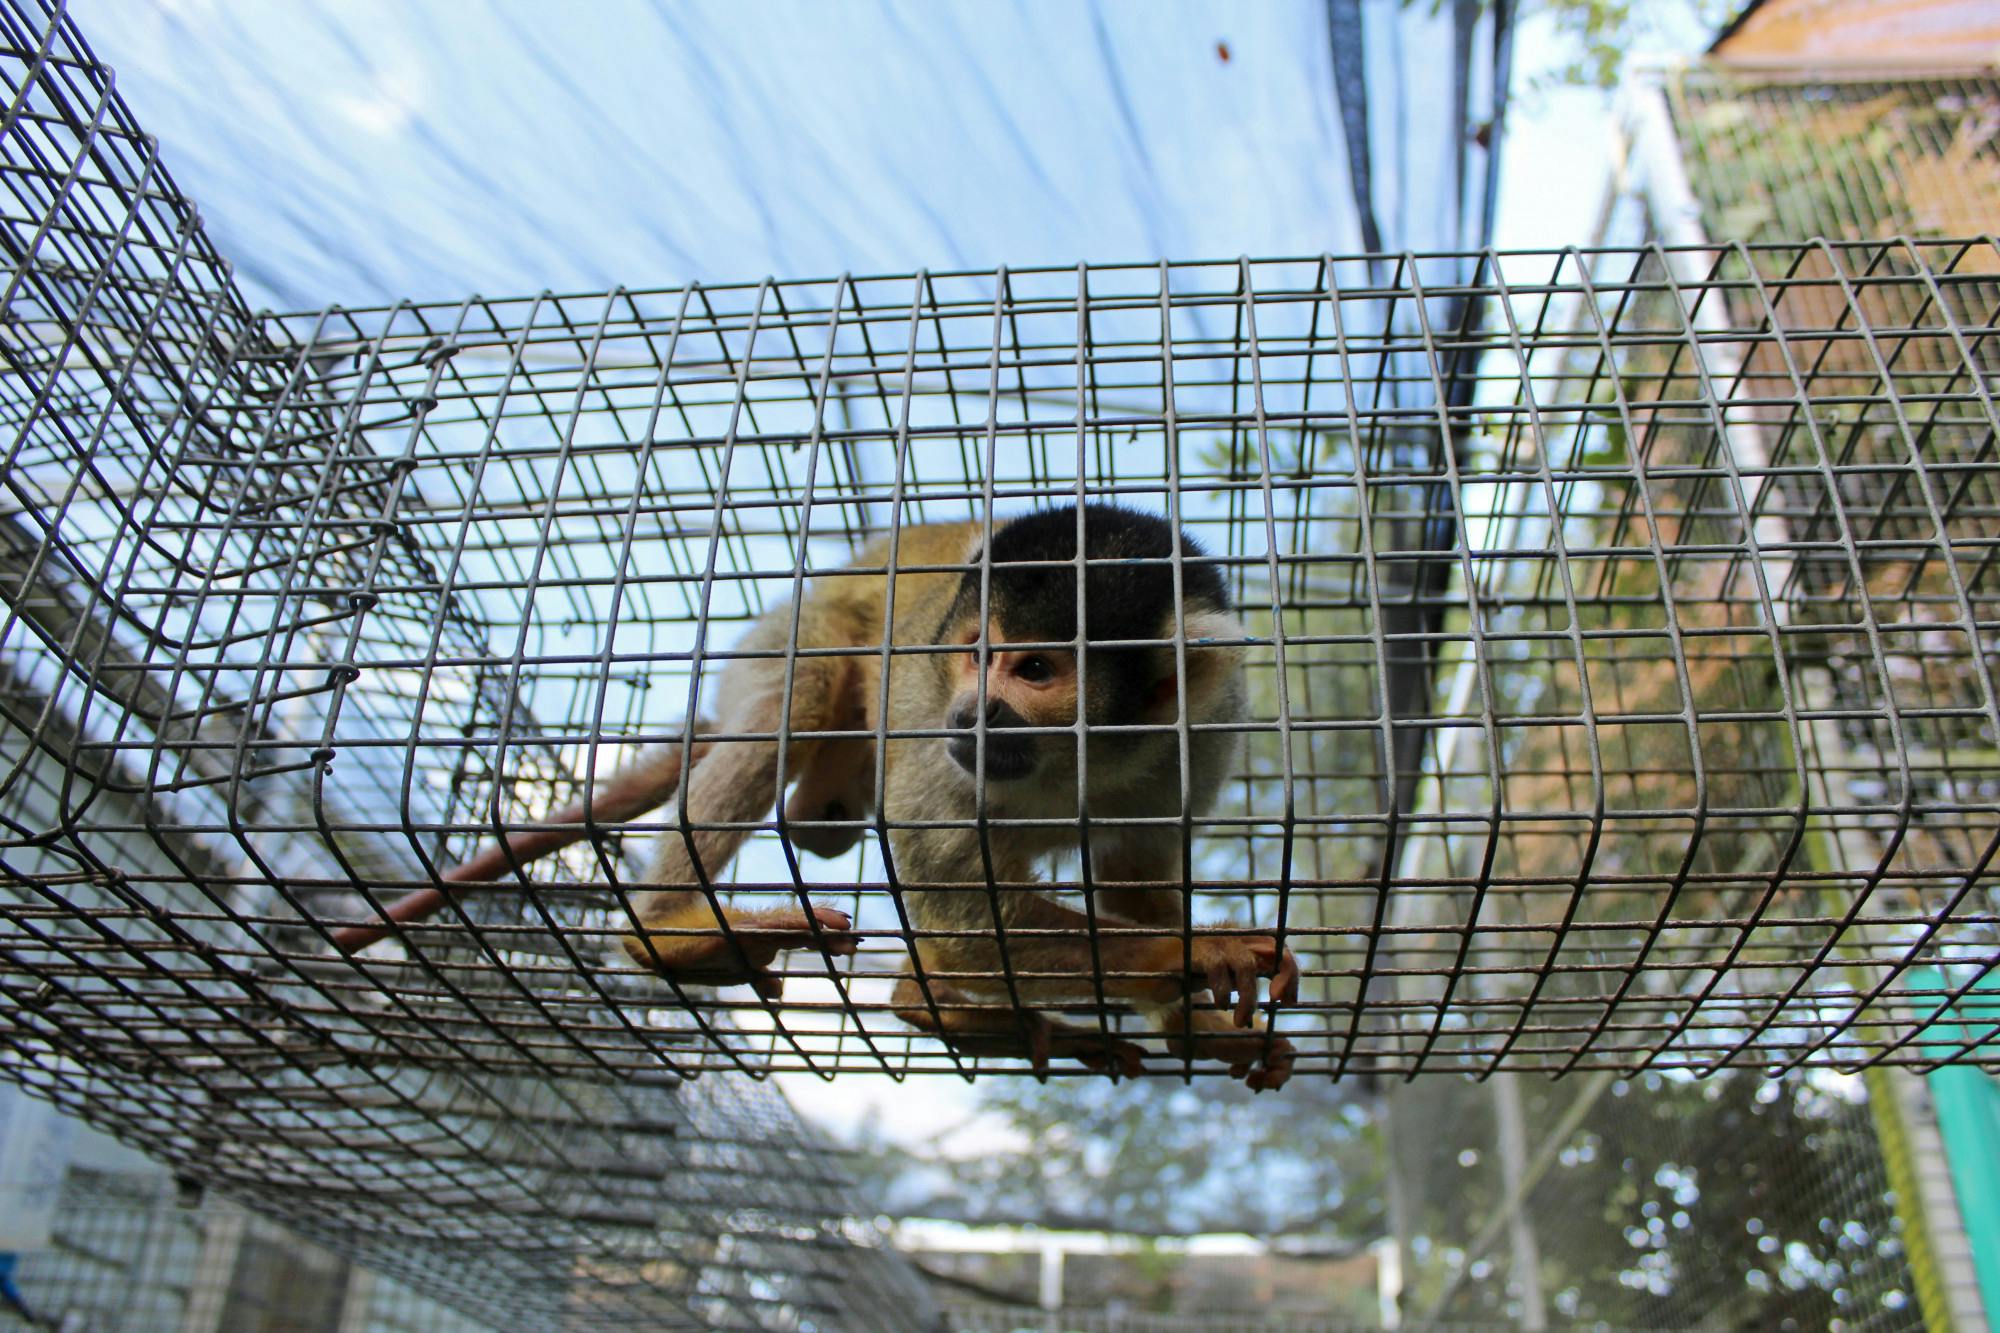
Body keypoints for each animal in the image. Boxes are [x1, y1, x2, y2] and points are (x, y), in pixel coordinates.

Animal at [341, 504, 1299, 1088]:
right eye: (973, 655)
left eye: (1033, 670)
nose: (970, 712)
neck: (1078, 758)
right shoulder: (938, 747)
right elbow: (962, 913)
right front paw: (1198, 953)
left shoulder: (1204, 733)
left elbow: (1135, 876)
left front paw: (1198, 1025)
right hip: (794, 635)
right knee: (799, 698)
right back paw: (673, 934)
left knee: (825, 827)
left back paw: (940, 1005)